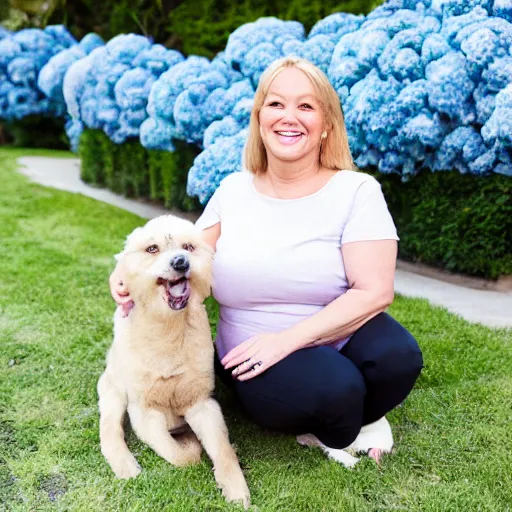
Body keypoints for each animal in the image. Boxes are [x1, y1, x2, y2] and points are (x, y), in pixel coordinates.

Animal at [97, 214, 251, 506]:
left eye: (188, 247)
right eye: (152, 249)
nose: (181, 262)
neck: (168, 329)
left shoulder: (202, 403)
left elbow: (223, 450)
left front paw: (235, 487)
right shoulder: (144, 411)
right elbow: (182, 455)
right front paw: (190, 446)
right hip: (113, 392)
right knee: (109, 430)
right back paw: (125, 465)